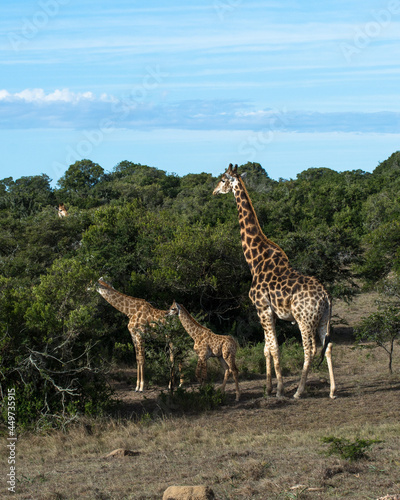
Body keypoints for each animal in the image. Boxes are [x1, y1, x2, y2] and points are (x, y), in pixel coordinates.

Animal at [214, 164, 336, 398]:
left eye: (223, 179)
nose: (214, 191)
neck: (255, 259)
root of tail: (326, 297)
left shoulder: (263, 308)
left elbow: (274, 348)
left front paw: (279, 390)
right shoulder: (265, 311)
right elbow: (266, 348)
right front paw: (268, 387)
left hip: (304, 320)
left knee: (310, 349)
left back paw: (298, 391)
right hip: (324, 318)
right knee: (329, 346)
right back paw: (333, 390)